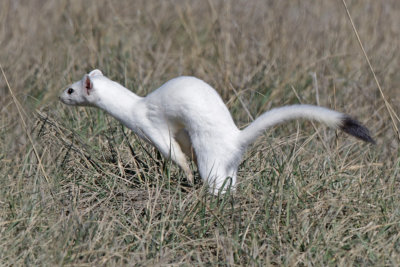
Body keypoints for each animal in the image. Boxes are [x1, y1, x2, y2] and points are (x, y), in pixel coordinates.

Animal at [60, 70, 376, 194]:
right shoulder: (178, 131)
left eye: (71, 89)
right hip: (229, 165)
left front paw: (187, 175)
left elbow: (173, 153)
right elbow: (181, 145)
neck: (135, 105)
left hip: (211, 158)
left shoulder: (152, 126)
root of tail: (235, 137)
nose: (59, 96)